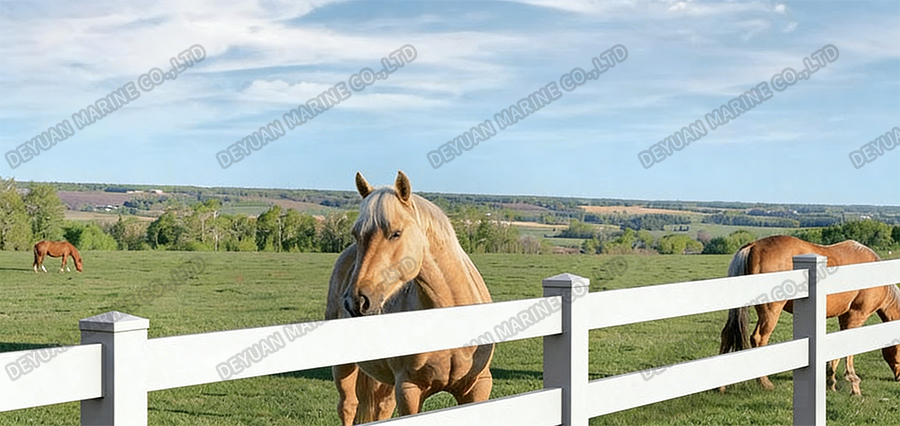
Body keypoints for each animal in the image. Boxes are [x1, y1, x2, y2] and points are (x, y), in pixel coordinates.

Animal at [325, 171, 494, 425]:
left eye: (396, 233)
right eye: (356, 234)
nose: (356, 301)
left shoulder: (477, 386)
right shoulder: (409, 389)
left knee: (381, 408)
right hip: (345, 366)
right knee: (348, 406)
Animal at [719, 235, 900, 395]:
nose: (898, 377)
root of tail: (754, 246)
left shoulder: (844, 317)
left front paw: (831, 380)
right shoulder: (856, 315)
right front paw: (854, 385)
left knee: (727, 334)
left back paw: (720, 387)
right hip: (770, 311)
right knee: (758, 338)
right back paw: (765, 383)